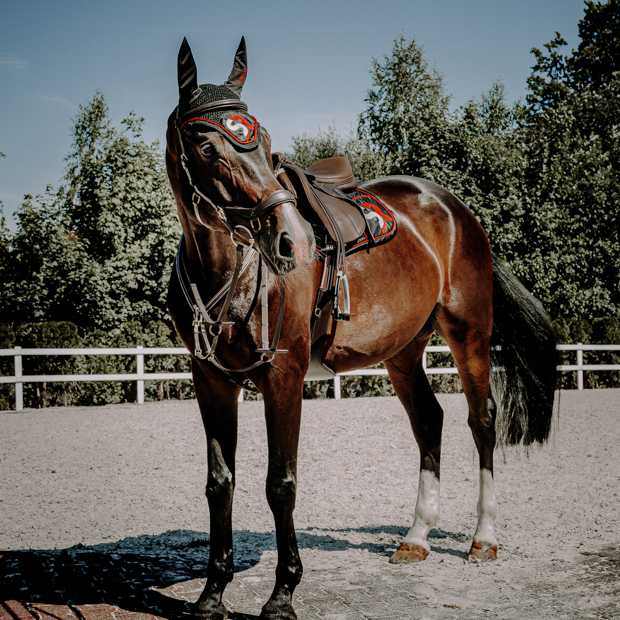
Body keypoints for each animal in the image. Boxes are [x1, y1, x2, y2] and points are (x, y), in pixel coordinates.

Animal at [163, 38, 556, 620]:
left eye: (266, 143)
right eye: (209, 148)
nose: (292, 242)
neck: (228, 270)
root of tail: (455, 208)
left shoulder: (283, 377)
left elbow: (281, 484)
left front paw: (283, 594)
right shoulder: (211, 380)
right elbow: (220, 484)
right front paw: (212, 593)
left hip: (469, 335)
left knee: (481, 421)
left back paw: (483, 538)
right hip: (403, 351)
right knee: (429, 421)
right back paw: (416, 538)